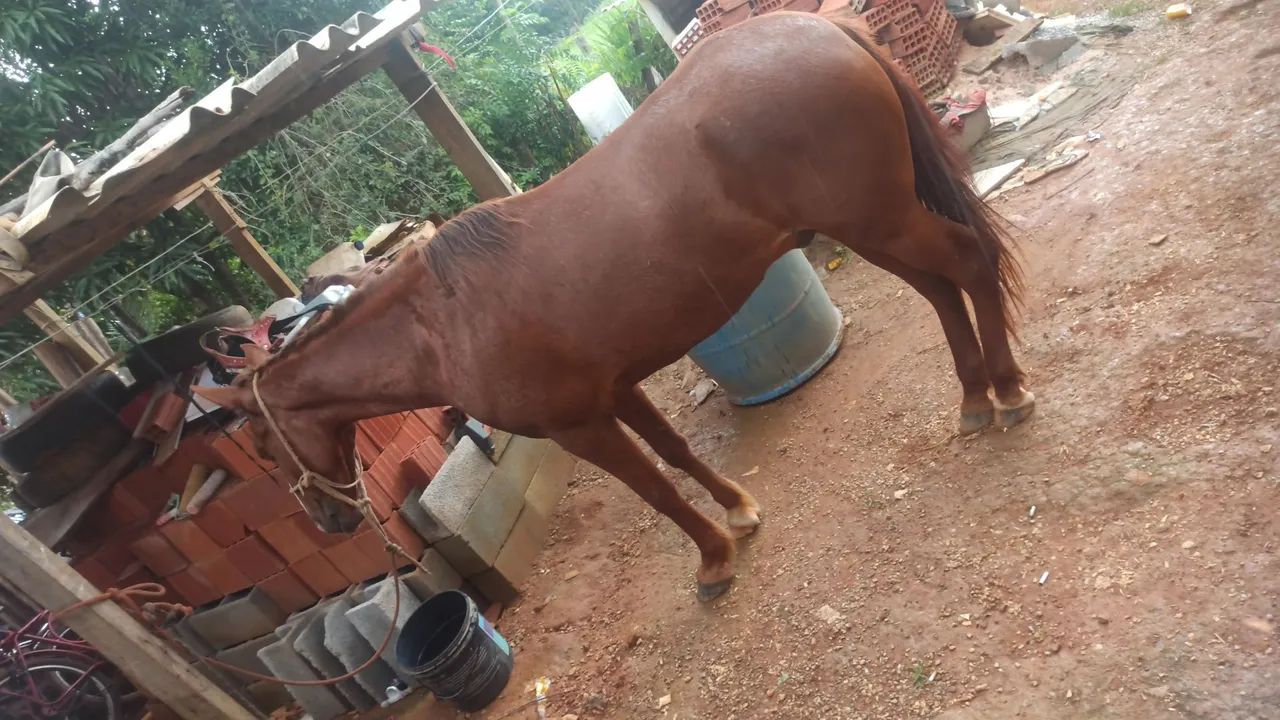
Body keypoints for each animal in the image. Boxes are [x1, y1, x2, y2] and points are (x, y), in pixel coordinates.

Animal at [194, 12, 1033, 602]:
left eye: (264, 446)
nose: (329, 520)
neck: (442, 323)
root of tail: (821, 25)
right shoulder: (618, 389)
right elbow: (679, 452)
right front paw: (739, 512)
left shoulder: (579, 424)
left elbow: (654, 489)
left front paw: (713, 562)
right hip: (871, 224)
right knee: (939, 289)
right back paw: (972, 399)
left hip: (880, 218)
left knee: (968, 264)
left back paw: (1010, 392)